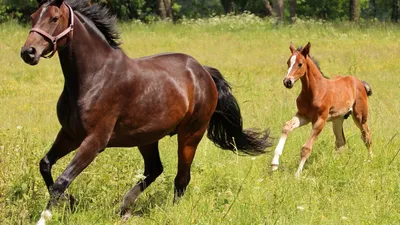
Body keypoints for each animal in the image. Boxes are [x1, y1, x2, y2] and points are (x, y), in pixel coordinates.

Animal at [21, 0, 272, 222]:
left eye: (54, 18)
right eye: (33, 17)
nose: (28, 52)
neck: (93, 76)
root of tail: (203, 71)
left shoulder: (94, 141)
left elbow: (62, 180)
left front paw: (47, 215)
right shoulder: (70, 134)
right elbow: (45, 165)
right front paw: (70, 201)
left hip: (191, 134)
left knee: (181, 177)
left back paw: (167, 212)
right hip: (147, 138)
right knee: (155, 168)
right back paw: (124, 206)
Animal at [270, 42, 374, 178]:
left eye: (300, 64)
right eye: (288, 62)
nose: (287, 81)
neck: (314, 91)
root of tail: (359, 82)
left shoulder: (320, 120)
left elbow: (306, 148)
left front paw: (297, 174)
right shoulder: (303, 116)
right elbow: (286, 126)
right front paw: (274, 165)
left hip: (360, 116)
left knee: (367, 137)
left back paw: (370, 160)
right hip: (338, 119)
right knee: (340, 141)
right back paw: (335, 164)